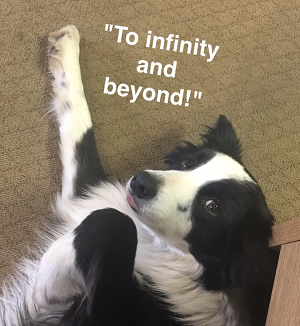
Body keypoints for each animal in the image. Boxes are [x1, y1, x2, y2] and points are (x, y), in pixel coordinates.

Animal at [0, 26, 276, 326]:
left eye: (212, 206)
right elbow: (79, 123)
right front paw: (65, 46)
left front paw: (50, 283)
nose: (140, 182)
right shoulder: (87, 191)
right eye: (187, 162)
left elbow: (114, 221)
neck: (158, 245)